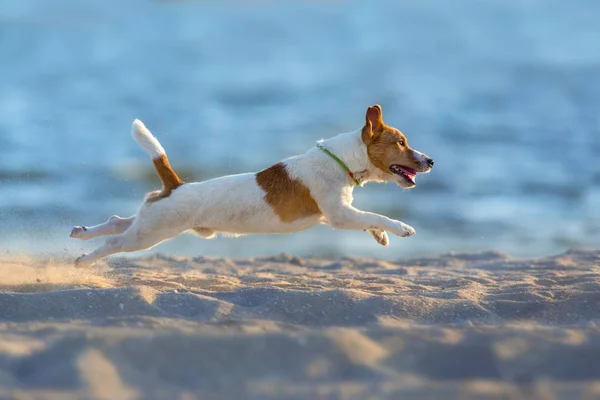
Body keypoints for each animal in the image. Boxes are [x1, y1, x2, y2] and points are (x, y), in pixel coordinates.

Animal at [72, 104, 434, 268]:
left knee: (117, 222)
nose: (430, 161)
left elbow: (369, 220)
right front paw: (400, 228)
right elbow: (375, 215)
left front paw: (381, 236)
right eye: (401, 143)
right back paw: (84, 260)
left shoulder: (343, 213)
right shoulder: (340, 216)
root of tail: (175, 185)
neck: (342, 160)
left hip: (149, 222)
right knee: (115, 241)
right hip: (150, 235)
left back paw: (82, 232)